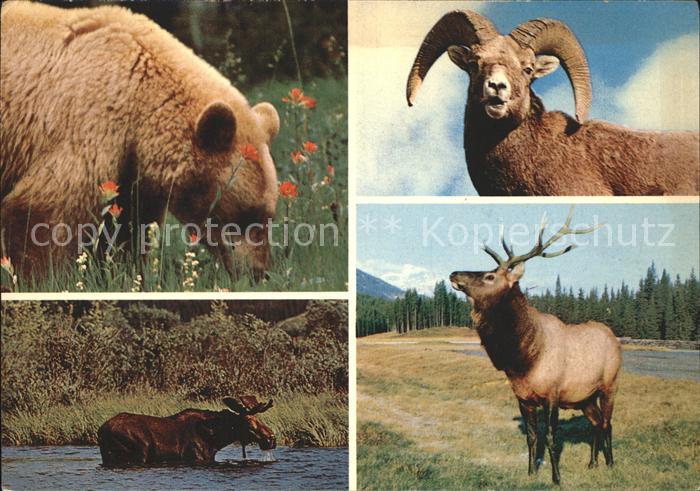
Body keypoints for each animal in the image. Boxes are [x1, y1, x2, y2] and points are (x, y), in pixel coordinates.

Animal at [449, 209, 621, 484]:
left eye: (490, 276)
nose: (454, 274)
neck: (524, 359)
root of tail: (613, 337)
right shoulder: (523, 398)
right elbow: (531, 437)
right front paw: (531, 472)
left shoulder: (552, 394)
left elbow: (551, 437)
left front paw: (557, 478)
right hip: (585, 397)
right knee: (596, 423)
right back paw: (593, 462)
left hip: (610, 385)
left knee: (608, 423)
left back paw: (611, 462)